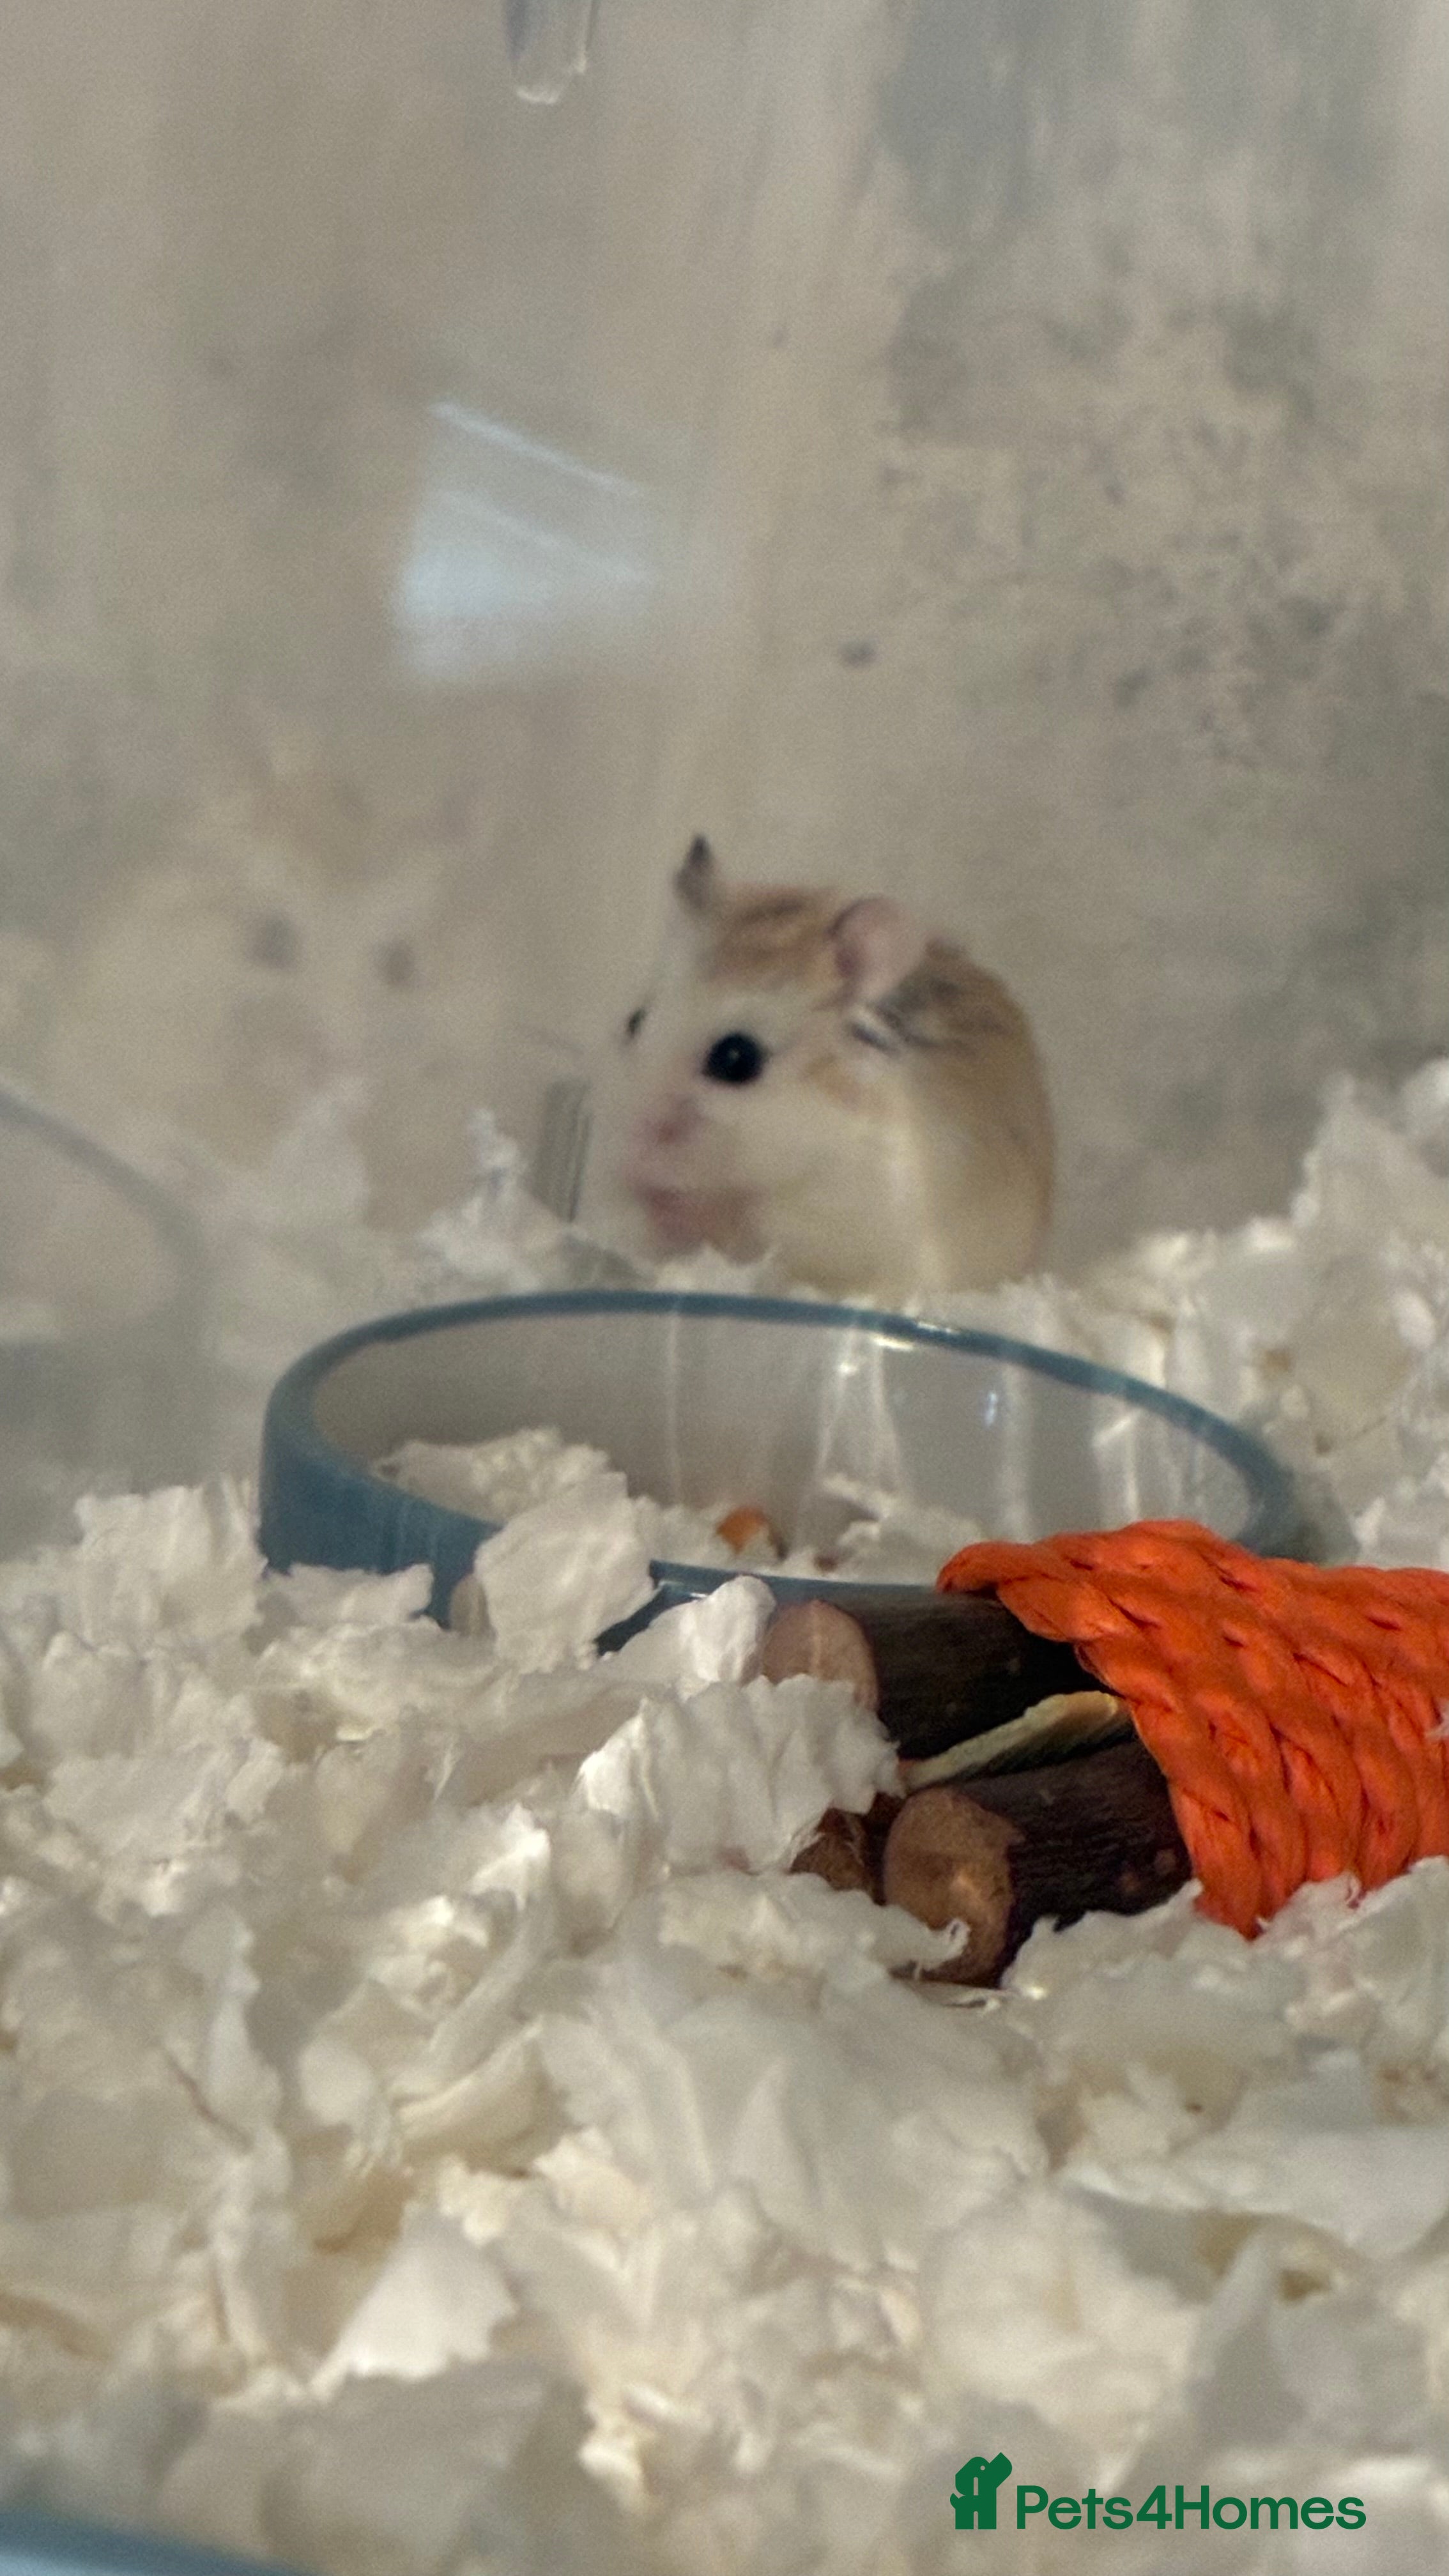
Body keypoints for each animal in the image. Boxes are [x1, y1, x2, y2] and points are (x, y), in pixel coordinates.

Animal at [583, 838, 1054, 1300]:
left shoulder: (829, 1219)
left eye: (736, 1059)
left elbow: (747, 1224)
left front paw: (683, 1211)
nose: (632, 1159)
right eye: (635, 1022)